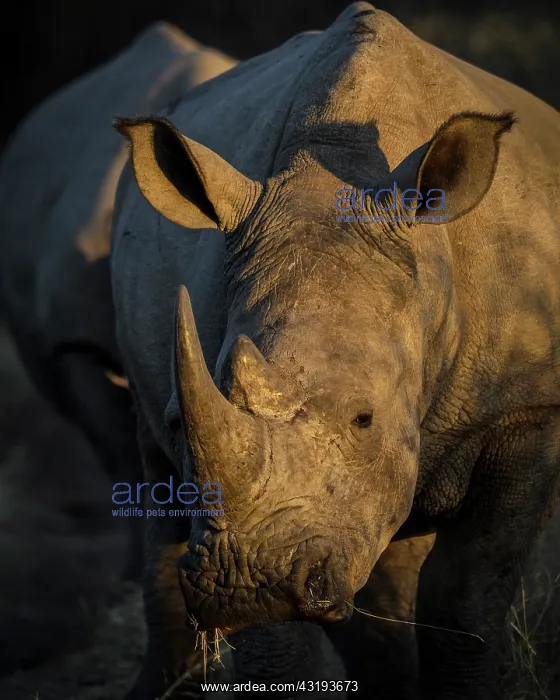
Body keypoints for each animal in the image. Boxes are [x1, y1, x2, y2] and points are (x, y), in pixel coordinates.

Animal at [1, 2, 560, 699]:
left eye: (365, 418)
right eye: (181, 421)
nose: (243, 583)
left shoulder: (525, 409)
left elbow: (468, 597)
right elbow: (281, 633)